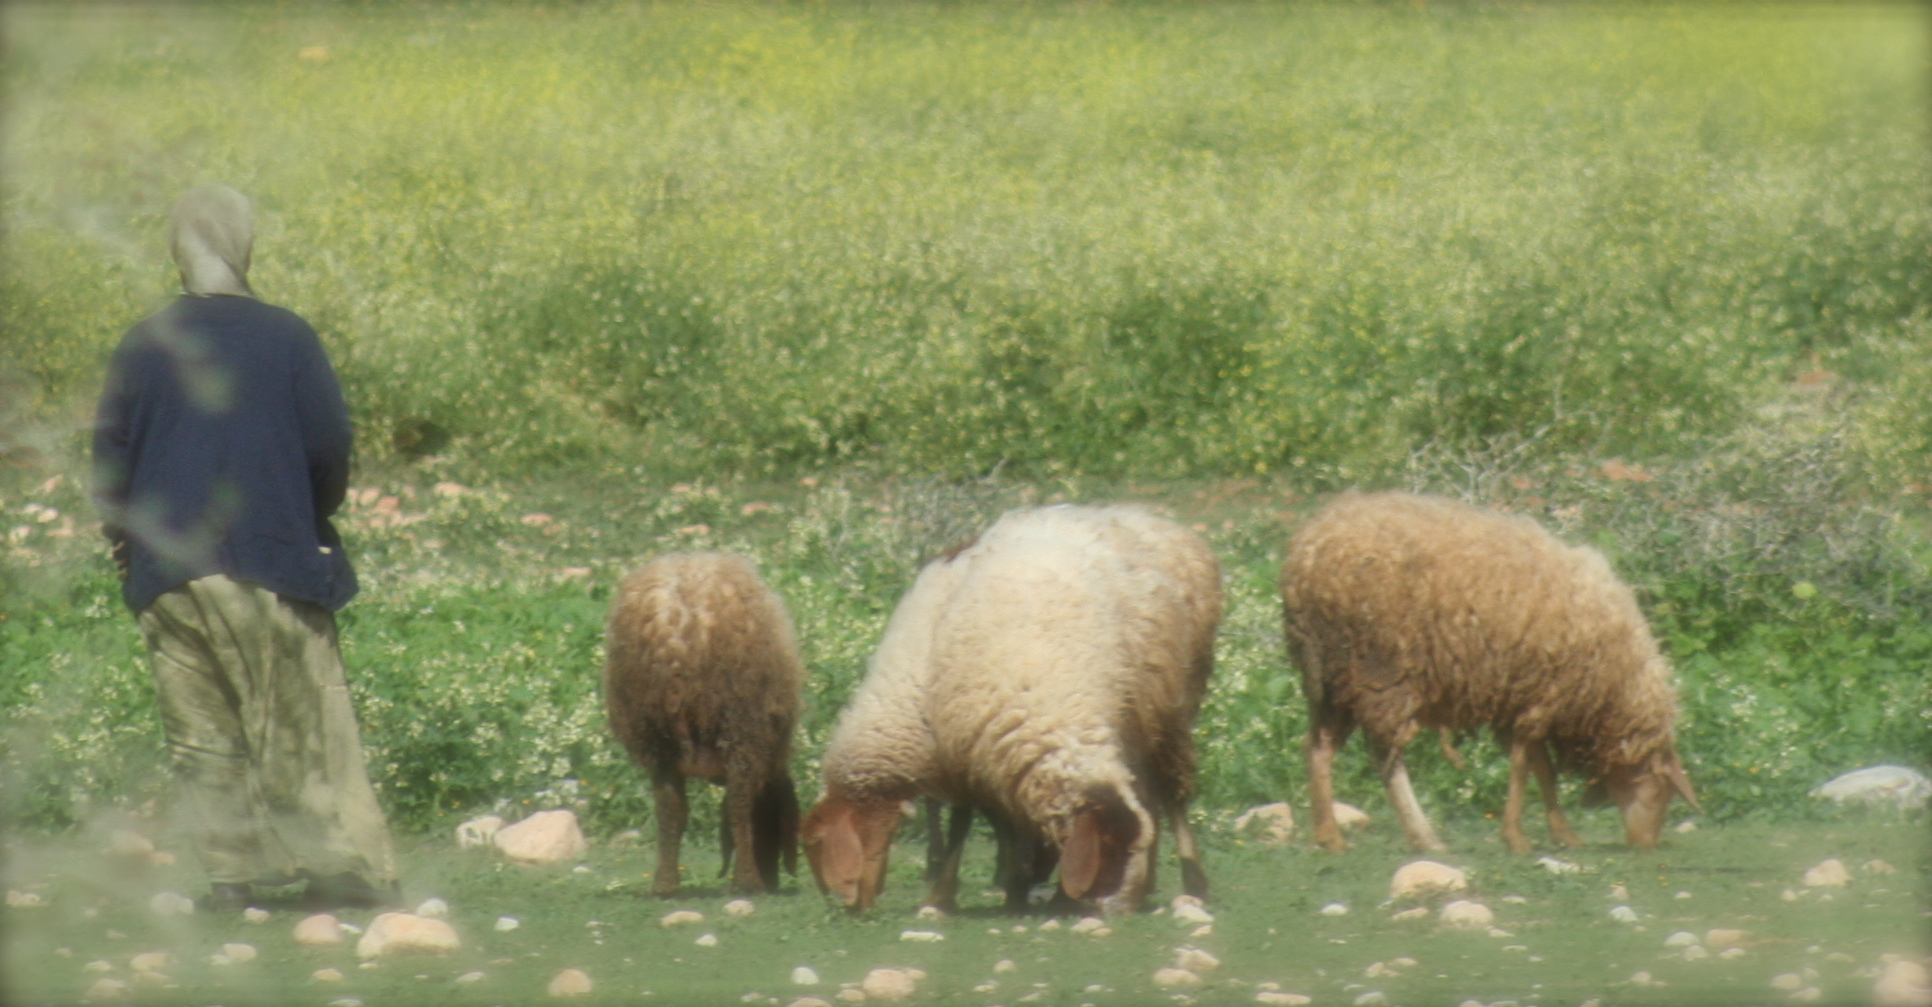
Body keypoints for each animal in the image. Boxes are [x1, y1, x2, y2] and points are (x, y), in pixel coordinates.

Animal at [605, 552, 803, 895]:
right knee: (739, 801)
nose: (773, 880)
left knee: (669, 806)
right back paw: (747, 883)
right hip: (740, 717)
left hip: (655, 730)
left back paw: (665, 885)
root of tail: (680, 633)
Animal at [803, 505, 1221, 914]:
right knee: (1149, 796)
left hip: (1171, 705)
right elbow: (980, 821)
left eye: (817, 843)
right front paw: (1005, 887)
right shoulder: (976, 751)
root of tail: (1156, 519)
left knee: (1170, 794)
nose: (1120, 909)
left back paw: (1192, 881)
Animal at [1280, 491, 1700, 855]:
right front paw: (1516, 837)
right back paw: (1424, 837)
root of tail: (1305, 552)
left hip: (1335, 681)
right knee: (1386, 758)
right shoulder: (1542, 699)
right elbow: (1523, 768)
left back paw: (1330, 836)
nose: (1644, 845)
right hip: (1380, 674)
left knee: (1317, 747)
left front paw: (1563, 834)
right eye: (1663, 790)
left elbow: (1541, 769)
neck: (1615, 685)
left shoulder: (1530, 698)